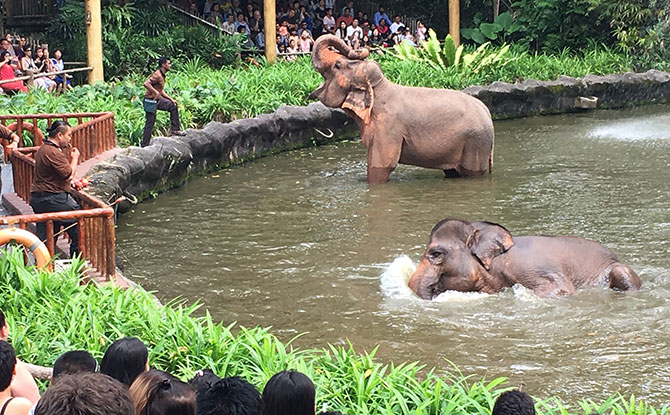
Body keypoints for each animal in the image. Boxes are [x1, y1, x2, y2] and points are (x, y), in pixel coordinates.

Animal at [308, 35, 494, 184]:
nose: (360, 48)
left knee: (471, 172)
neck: (379, 87)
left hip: (475, 142)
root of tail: (488, 114)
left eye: (337, 65)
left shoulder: (388, 127)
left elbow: (381, 166)